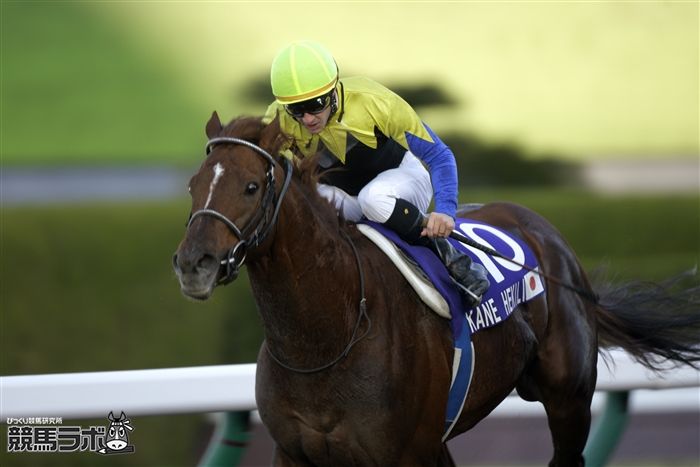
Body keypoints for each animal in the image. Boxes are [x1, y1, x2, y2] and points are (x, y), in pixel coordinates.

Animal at [173, 113, 700, 466]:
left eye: (250, 186)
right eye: (193, 184)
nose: (193, 264)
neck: (327, 337)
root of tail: (545, 233)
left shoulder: (409, 453)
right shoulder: (295, 453)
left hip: (568, 398)